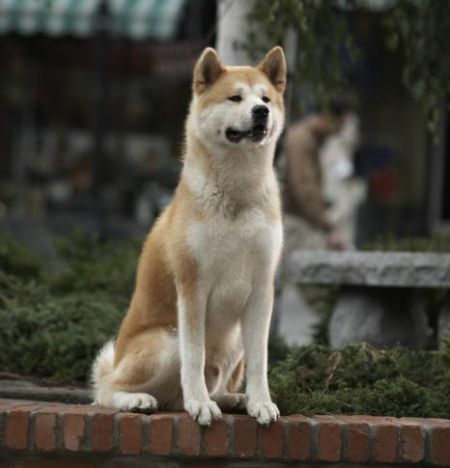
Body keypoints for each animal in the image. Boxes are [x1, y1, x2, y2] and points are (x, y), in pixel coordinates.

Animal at [91, 45, 286, 426]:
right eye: (235, 97)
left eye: (266, 98)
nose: (262, 112)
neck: (236, 197)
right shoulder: (193, 285)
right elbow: (194, 357)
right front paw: (200, 404)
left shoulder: (261, 289)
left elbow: (261, 361)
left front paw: (261, 402)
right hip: (166, 341)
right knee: (106, 390)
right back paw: (141, 399)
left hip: (233, 341)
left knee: (206, 387)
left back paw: (233, 399)